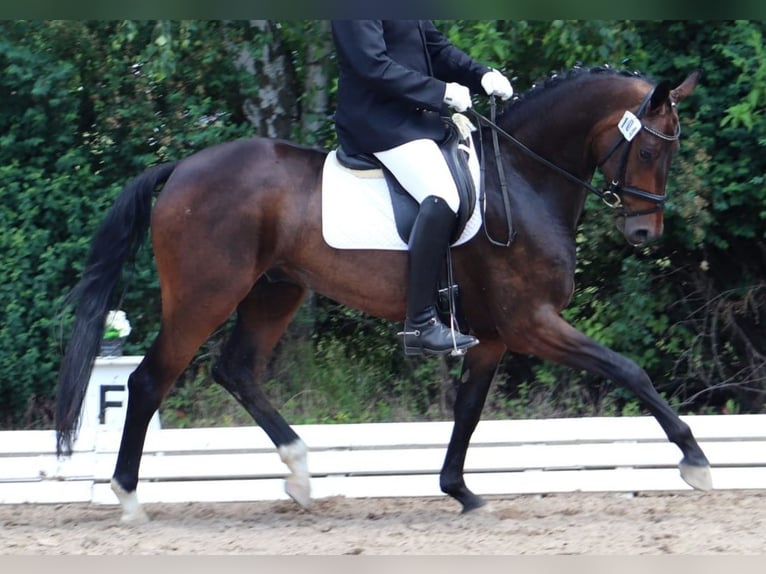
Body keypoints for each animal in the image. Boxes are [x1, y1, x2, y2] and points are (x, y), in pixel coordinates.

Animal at [55, 65, 712, 524]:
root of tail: (182, 169)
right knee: (148, 381)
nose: (644, 234)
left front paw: (460, 491)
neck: (523, 180)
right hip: (204, 297)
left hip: (274, 292)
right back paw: (129, 499)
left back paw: (300, 473)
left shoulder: (493, 335)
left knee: (235, 369)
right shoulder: (532, 322)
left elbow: (468, 411)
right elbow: (628, 369)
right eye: (648, 149)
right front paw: (696, 462)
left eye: (671, 150)